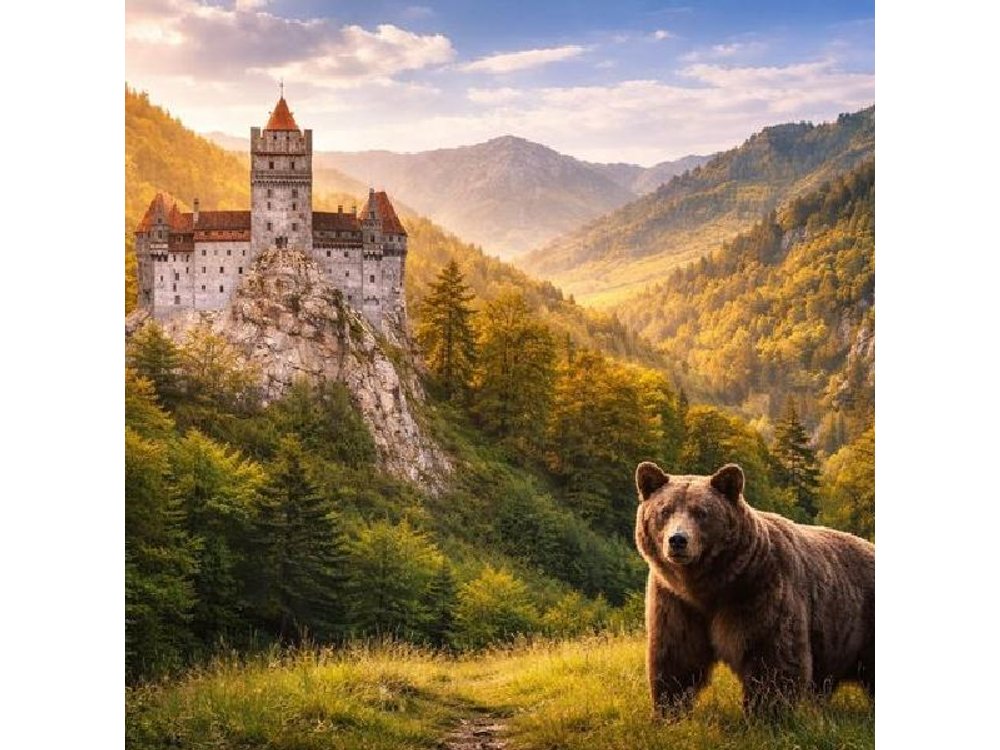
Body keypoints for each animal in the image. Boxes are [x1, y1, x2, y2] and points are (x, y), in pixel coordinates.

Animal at [634, 461, 874, 719]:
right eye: (664, 511)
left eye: (701, 512)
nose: (678, 540)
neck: (709, 586)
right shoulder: (676, 601)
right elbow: (676, 656)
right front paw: (668, 712)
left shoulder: (759, 591)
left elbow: (772, 657)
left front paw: (766, 714)